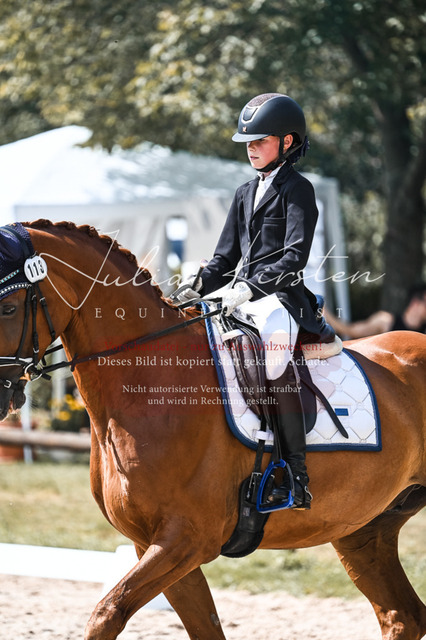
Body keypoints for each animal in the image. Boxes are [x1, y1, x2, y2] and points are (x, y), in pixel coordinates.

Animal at [0, 220, 425, 640]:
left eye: (7, 307)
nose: (2, 394)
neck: (152, 379)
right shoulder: (151, 544)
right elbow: (202, 625)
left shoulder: (187, 540)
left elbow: (106, 612)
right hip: (364, 530)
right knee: (402, 616)